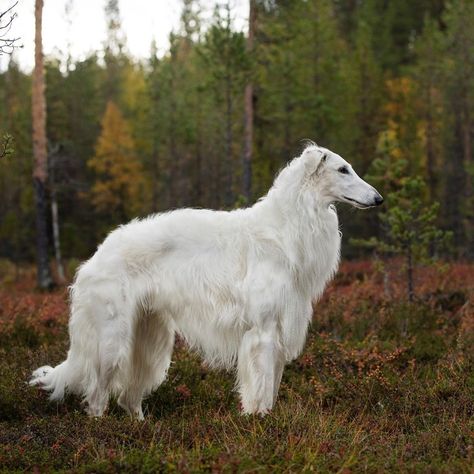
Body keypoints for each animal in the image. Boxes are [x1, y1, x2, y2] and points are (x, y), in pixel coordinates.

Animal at [29, 144, 384, 418]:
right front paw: (261, 424)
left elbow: (271, 388)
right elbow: (261, 389)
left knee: (128, 398)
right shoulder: (262, 332)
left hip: (149, 338)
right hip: (111, 340)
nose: (379, 198)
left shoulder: (281, 331)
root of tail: (95, 257)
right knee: (97, 397)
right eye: (343, 169)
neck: (284, 229)